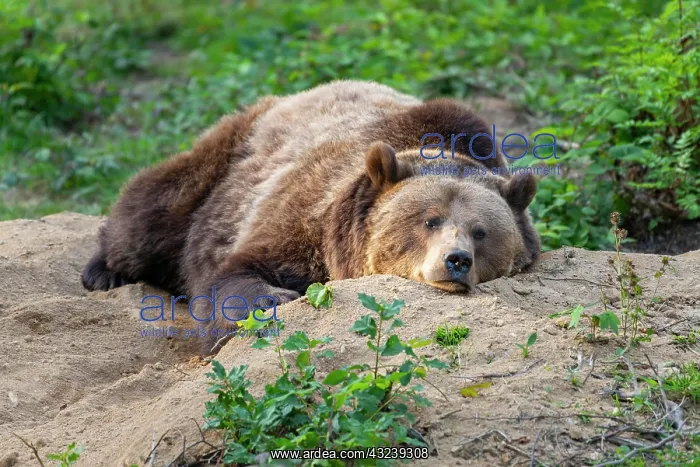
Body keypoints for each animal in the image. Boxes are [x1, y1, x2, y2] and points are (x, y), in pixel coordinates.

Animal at [81, 80, 541, 354]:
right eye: (429, 220)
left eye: (481, 232)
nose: (456, 260)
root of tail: (286, 96)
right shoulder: (302, 217)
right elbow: (235, 274)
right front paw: (274, 298)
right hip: (223, 161)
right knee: (152, 213)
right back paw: (102, 271)